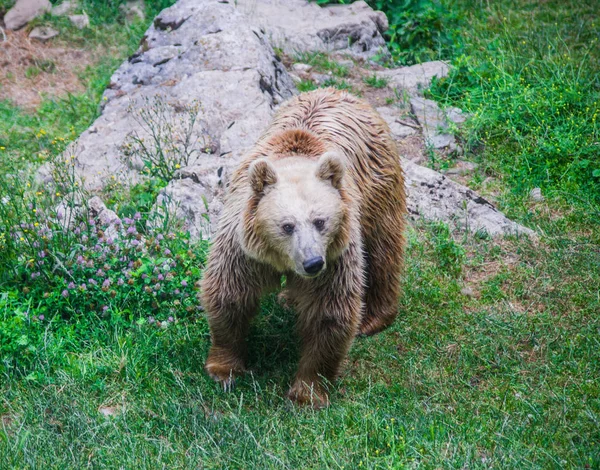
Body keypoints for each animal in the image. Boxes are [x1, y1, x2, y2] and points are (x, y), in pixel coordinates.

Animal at [203, 88, 408, 408]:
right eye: (287, 225)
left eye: (320, 221)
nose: (312, 263)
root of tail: (341, 92)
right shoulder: (243, 249)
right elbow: (230, 294)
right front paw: (224, 369)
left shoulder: (335, 254)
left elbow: (328, 312)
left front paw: (307, 392)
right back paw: (289, 298)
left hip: (377, 186)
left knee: (382, 249)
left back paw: (373, 318)